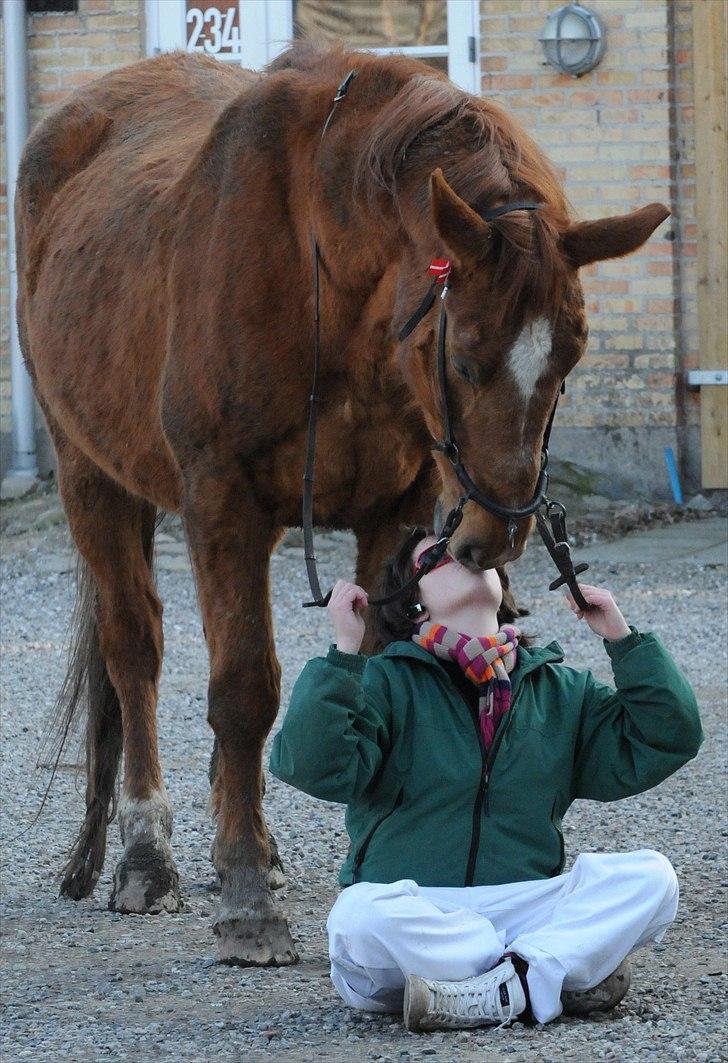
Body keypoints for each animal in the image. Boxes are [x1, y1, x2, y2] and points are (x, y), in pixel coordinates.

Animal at [14, 43, 667, 965]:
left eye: (569, 356)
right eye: (463, 357)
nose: (497, 532)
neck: (325, 273)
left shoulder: (396, 508)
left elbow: (388, 665)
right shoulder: (223, 502)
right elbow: (242, 689)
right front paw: (246, 903)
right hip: (89, 475)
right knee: (134, 651)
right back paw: (147, 854)